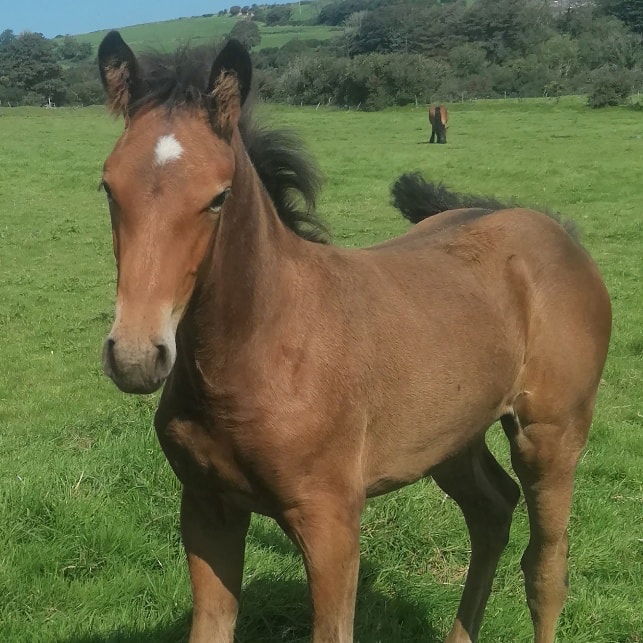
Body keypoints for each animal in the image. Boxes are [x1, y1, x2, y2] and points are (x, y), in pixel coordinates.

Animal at [97, 33, 611, 643]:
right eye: (108, 187)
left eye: (218, 197)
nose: (135, 356)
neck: (256, 354)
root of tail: (557, 231)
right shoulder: (206, 507)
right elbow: (211, 627)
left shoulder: (331, 522)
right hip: (449, 436)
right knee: (492, 510)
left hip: (551, 436)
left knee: (546, 565)